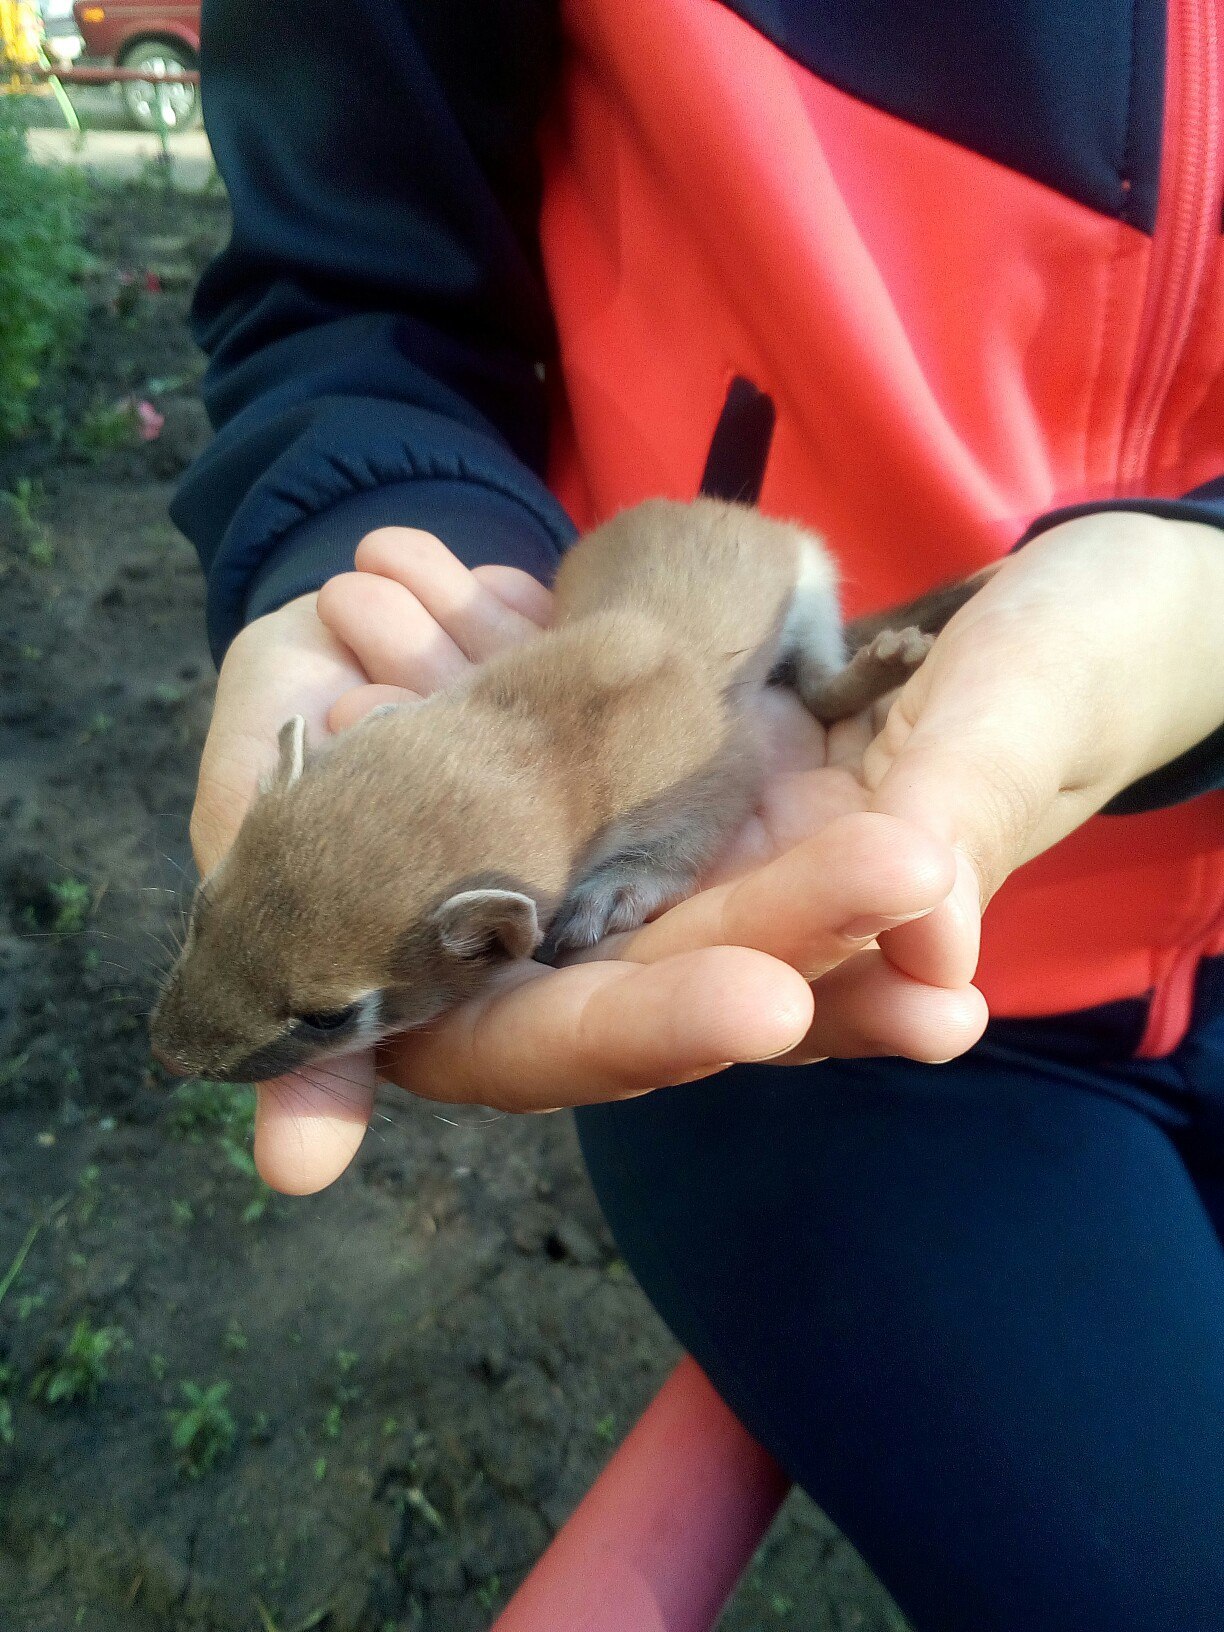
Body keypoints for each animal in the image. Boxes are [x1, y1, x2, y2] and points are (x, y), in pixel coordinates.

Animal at [150, 496, 998, 1083]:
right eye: (202, 909)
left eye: (327, 1016)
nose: (168, 1058)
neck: (551, 711)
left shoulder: (719, 763)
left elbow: (699, 828)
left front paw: (611, 893)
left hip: (813, 575)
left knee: (822, 688)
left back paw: (888, 658)